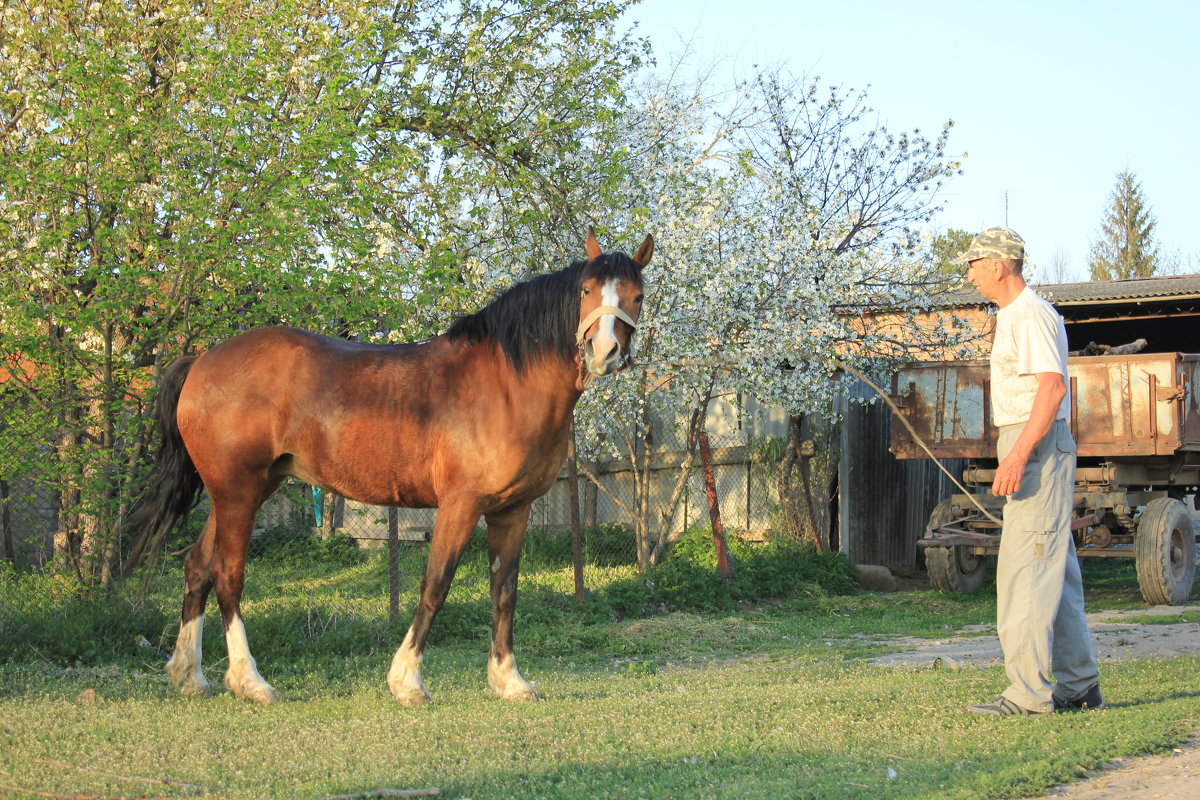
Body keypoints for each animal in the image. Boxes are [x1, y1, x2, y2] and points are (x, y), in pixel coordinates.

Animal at [140, 227, 657, 705]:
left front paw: (509, 680)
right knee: (228, 575)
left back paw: (190, 674)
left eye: (637, 296)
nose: (603, 352)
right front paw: (407, 680)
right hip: (239, 492)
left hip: (242, 491)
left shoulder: (513, 510)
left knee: (197, 566)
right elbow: (436, 585)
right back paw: (249, 680)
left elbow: (504, 590)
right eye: (586, 291)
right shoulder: (460, 505)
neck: (507, 383)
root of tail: (202, 360)